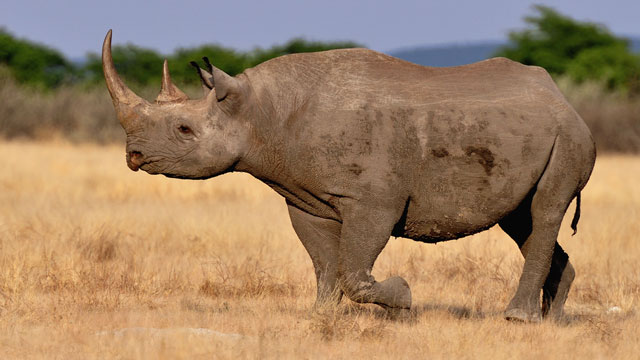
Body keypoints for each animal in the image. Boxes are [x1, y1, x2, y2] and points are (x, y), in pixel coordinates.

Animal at [100, 31, 596, 322]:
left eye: (184, 130)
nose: (134, 155)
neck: (260, 112)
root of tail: (564, 99)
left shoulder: (373, 200)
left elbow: (354, 267)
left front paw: (403, 299)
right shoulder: (305, 196)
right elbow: (325, 263)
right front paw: (322, 316)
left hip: (569, 137)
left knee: (544, 210)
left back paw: (517, 319)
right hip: (533, 134)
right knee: (522, 220)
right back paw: (551, 321)